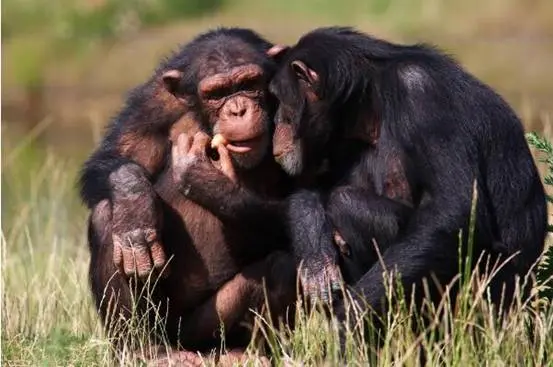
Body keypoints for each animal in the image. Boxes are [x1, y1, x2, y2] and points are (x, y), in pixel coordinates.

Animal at [77, 28, 298, 366]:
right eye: (217, 93)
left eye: (250, 83)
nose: (238, 109)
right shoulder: (153, 101)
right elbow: (116, 156)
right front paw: (134, 207)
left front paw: (210, 182)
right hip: (166, 326)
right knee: (105, 217)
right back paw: (144, 351)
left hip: (202, 330)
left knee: (282, 266)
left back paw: (245, 355)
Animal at [268, 27, 548, 332]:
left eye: (280, 98)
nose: (277, 121)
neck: (369, 101)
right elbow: (312, 187)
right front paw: (313, 246)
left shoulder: (422, 95)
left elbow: (451, 210)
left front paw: (347, 319)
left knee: (346, 203)